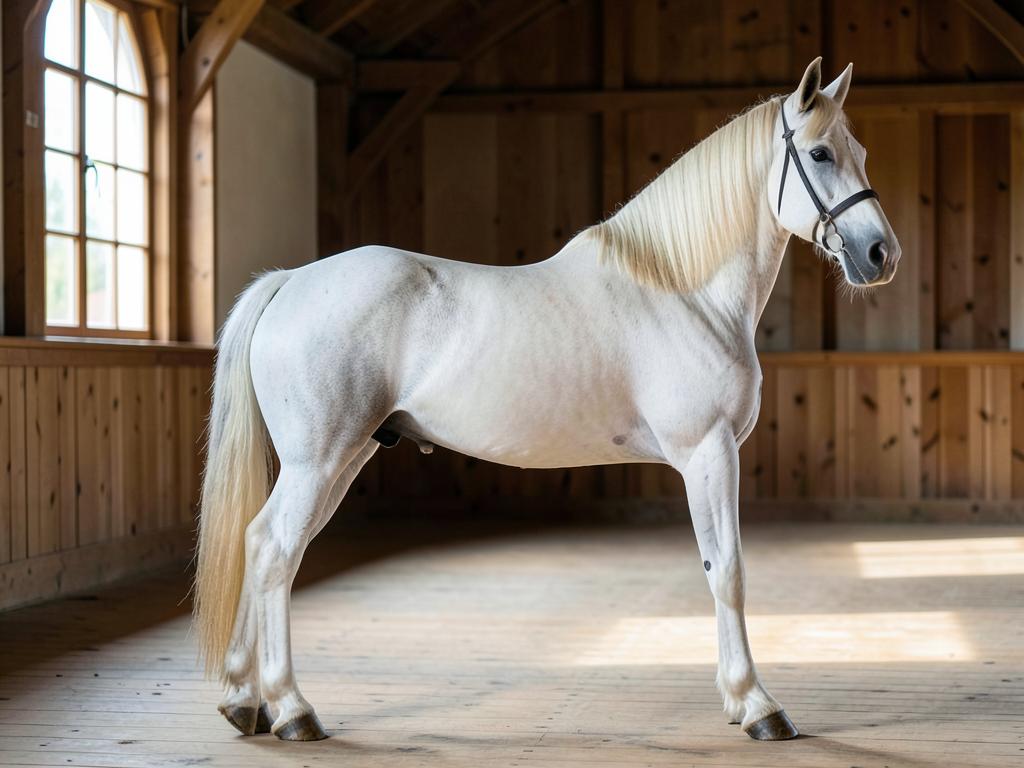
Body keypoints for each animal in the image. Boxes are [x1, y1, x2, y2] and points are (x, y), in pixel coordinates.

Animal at [194, 57, 900, 743]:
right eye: (819, 154)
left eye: (862, 150)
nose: (880, 254)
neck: (683, 291)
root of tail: (290, 282)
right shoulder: (708, 452)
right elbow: (726, 571)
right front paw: (756, 705)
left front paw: (738, 699)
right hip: (317, 461)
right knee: (275, 550)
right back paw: (292, 709)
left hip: (344, 459)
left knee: (260, 543)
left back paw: (243, 701)